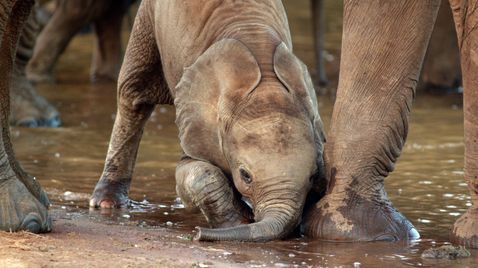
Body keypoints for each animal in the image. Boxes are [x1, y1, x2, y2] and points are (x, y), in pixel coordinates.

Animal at [89, 0, 324, 242]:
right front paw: (237, 221)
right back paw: (106, 203)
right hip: (148, 18)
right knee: (133, 94)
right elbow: (193, 172)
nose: (197, 235)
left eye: (313, 175)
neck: (267, 82)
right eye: (246, 176)